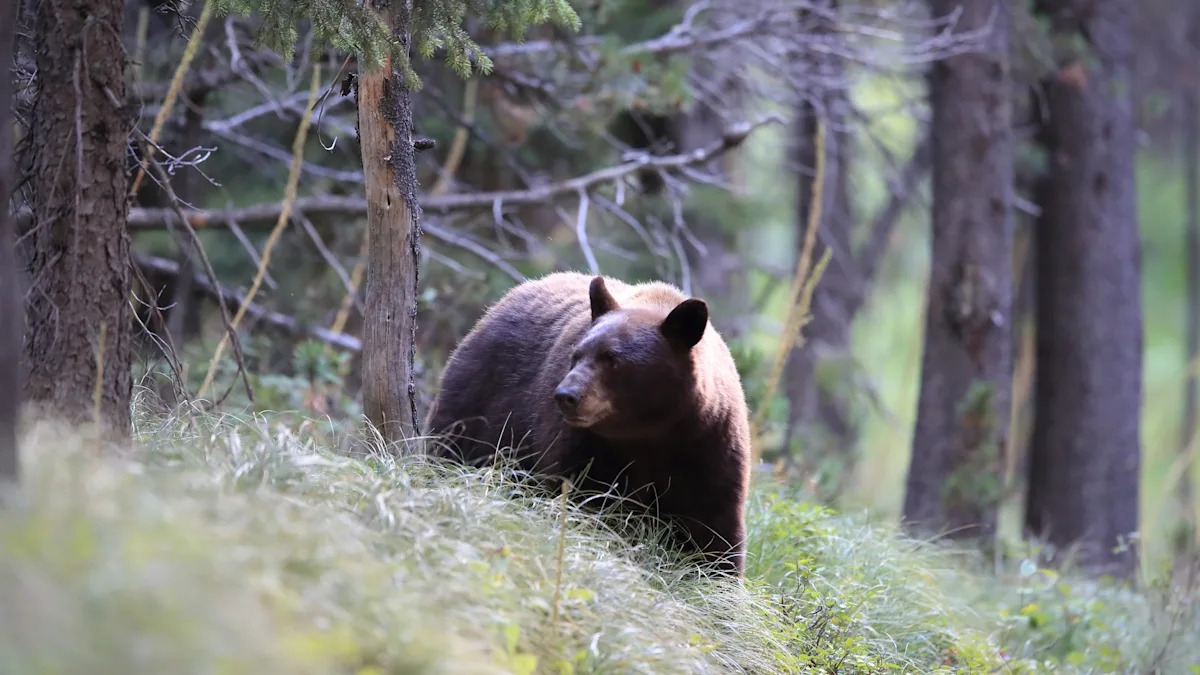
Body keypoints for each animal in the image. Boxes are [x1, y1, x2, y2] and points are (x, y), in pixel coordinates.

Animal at [424, 271, 752, 576]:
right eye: (577, 355)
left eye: (613, 360)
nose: (565, 395)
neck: (649, 433)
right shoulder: (587, 446)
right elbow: (584, 497)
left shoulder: (708, 447)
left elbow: (713, 528)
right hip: (478, 405)